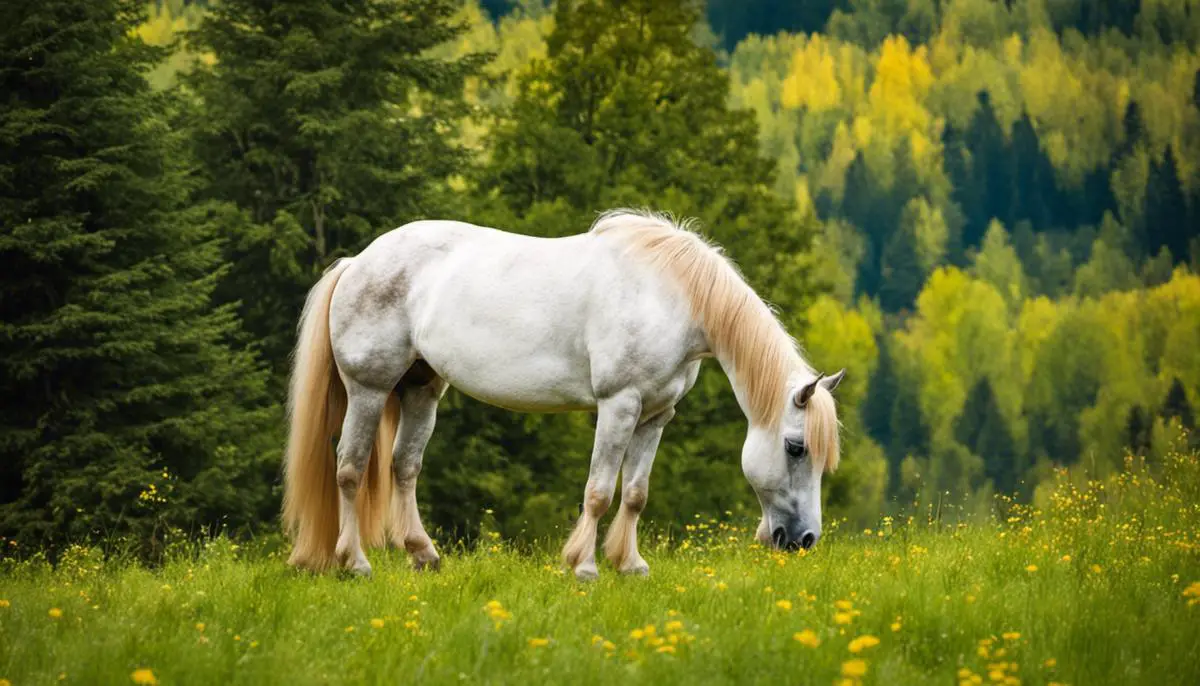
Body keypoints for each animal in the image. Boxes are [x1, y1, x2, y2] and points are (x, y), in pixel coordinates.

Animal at [280, 207, 844, 578]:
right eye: (796, 447)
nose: (804, 540)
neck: (669, 296)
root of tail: (357, 262)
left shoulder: (657, 415)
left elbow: (635, 494)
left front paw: (630, 565)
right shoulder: (619, 405)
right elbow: (599, 491)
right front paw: (585, 567)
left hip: (422, 390)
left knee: (404, 468)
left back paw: (424, 555)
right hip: (369, 388)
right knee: (350, 469)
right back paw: (354, 563)